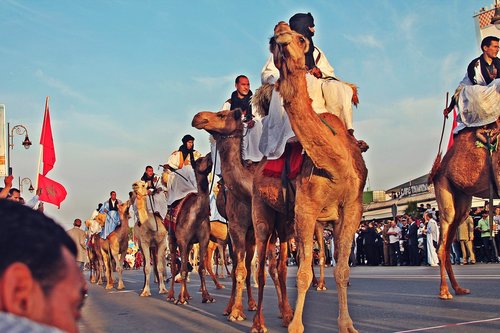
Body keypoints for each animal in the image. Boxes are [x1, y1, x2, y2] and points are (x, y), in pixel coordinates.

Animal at [166, 153, 217, 304]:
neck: (197, 215)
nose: (210, 155)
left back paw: (187, 295)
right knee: (174, 267)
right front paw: (180, 299)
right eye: (200, 160)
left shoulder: (204, 240)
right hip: (172, 239)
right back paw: (172, 295)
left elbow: (201, 269)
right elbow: (182, 269)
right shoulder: (182, 240)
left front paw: (207, 296)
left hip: (189, 245)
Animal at [249, 22, 370, 330]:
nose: (280, 33)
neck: (334, 166)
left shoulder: (352, 208)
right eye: (272, 41)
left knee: (277, 264)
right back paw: (259, 323)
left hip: (284, 219)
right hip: (261, 208)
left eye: (301, 39)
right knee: (259, 264)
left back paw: (282, 313)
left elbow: (342, 269)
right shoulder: (306, 208)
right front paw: (296, 326)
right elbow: (303, 272)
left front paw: (347, 325)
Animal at [430, 118, 500, 298]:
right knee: (442, 246)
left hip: (462, 201)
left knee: (448, 245)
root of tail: (436, 171)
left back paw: (458, 288)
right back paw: (444, 291)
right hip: (444, 191)